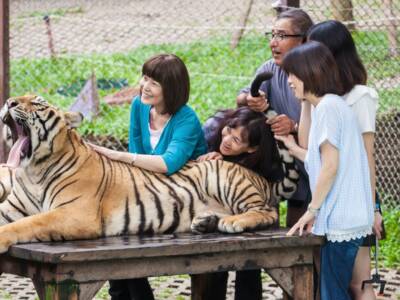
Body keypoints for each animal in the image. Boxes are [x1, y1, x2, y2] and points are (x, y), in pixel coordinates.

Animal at [0, 94, 298, 253]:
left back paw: (233, 222)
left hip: (226, 180)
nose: (9, 101)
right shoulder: (14, 207)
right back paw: (205, 221)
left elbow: (30, 223)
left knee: (267, 213)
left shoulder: (74, 213)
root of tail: (260, 177)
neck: (34, 171)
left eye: (37, 104)